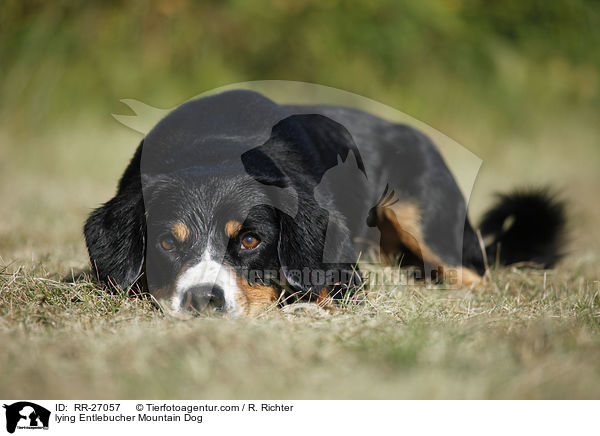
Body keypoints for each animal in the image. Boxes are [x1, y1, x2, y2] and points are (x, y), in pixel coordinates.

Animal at [84, 90, 568, 316]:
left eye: (250, 241)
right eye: (166, 244)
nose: (204, 300)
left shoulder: (340, 275)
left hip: (427, 221)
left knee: (475, 275)